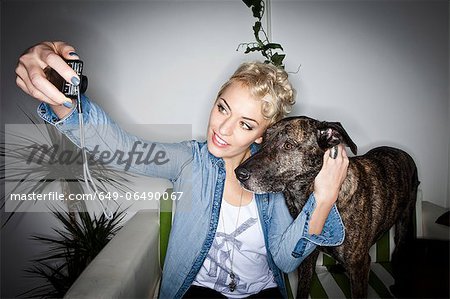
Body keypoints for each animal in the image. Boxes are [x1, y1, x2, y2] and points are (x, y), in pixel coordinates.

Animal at [236, 117, 418, 299]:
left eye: (288, 145)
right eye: (263, 141)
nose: (239, 173)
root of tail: (400, 151)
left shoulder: (359, 266)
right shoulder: (306, 257)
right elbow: (302, 289)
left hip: (405, 223)